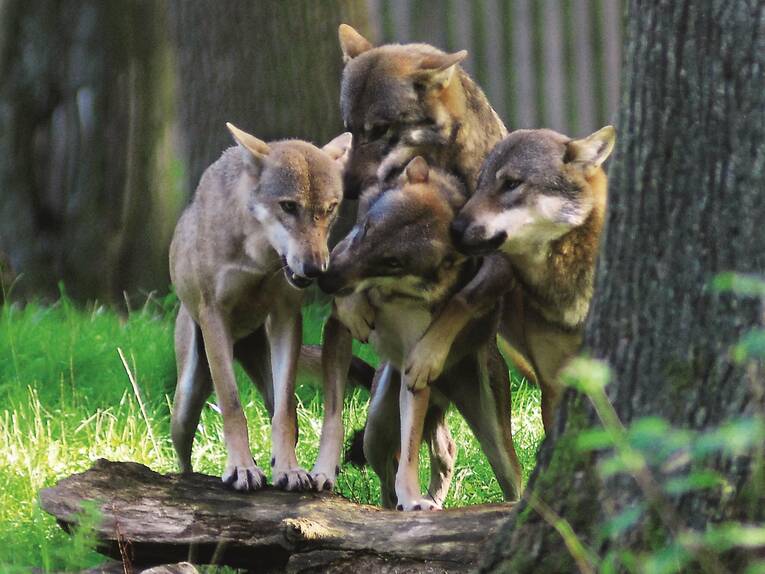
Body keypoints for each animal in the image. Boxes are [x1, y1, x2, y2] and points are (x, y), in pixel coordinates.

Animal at [169, 122, 351, 491]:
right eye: (289, 206)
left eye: (329, 209)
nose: (316, 269)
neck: (260, 257)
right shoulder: (214, 316)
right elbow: (232, 405)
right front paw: (241, 468)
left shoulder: (286, 316)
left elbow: (282, 415)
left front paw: (290, 471)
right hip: (186, 401)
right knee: (183, 456)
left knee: (288, 414)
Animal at [319, 157, 522, 510]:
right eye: (367, 229)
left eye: (392, 262)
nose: (325, 279)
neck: (389, 295)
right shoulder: (336, 327)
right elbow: (332, 416)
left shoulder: (415, 373)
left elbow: (411, 451)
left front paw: (412, 498)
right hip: (375, 428)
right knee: (406, 465)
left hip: (491, 433)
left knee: (506, 473)